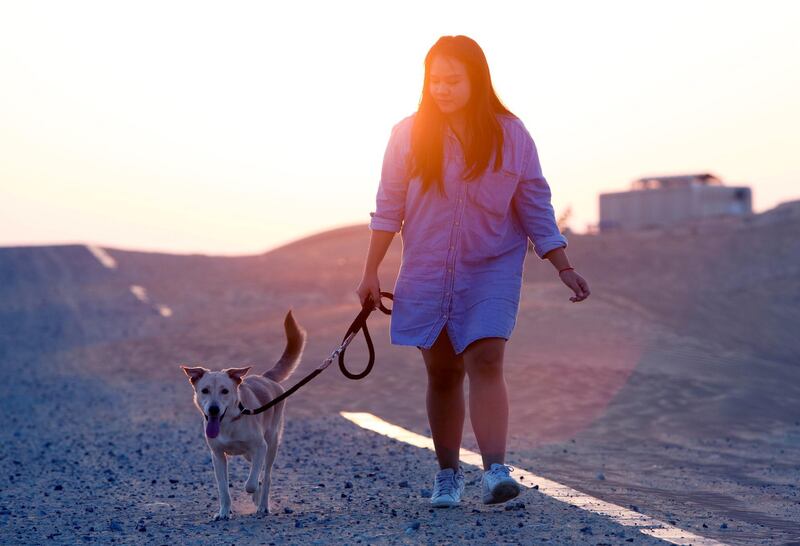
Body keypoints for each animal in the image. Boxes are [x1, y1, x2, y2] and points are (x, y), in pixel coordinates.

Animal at [181, 310, 306, 520]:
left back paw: (262, 505)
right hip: (251, 453)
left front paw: (253, 493)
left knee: (266, 475)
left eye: (225, 391)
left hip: (271, 444)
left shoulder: (260, 446)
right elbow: (223, 488)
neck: (228, 423)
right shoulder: (217, 455)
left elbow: (251, 483)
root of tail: (266, 378)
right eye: (205, 390)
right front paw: (224, 512)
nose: (213, 409)